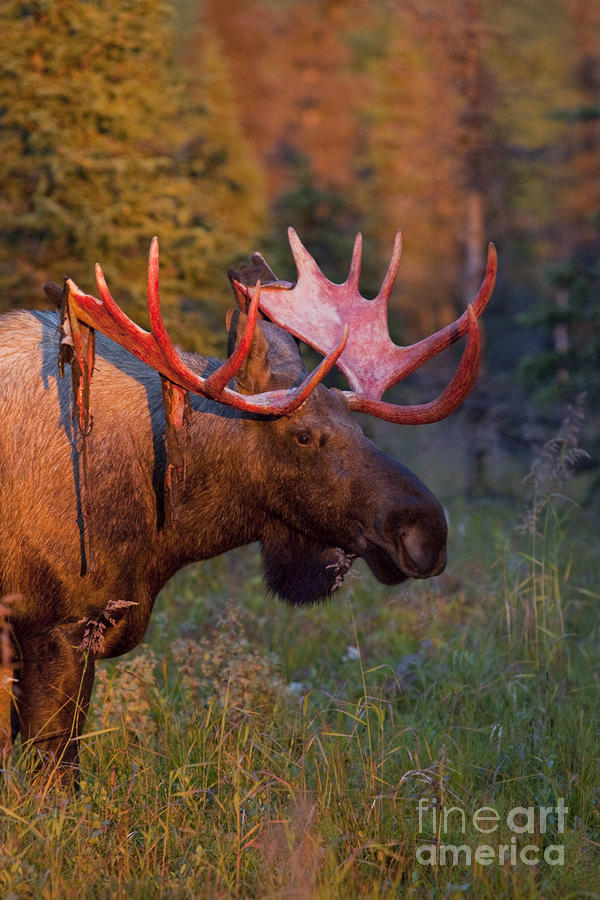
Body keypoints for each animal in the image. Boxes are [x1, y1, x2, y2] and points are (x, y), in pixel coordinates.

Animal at [0, 229, 496, 776]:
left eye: (360, 428)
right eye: (303, 436)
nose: (427, 532)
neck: (159, 535)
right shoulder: (54, 627)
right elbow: (55, 767)